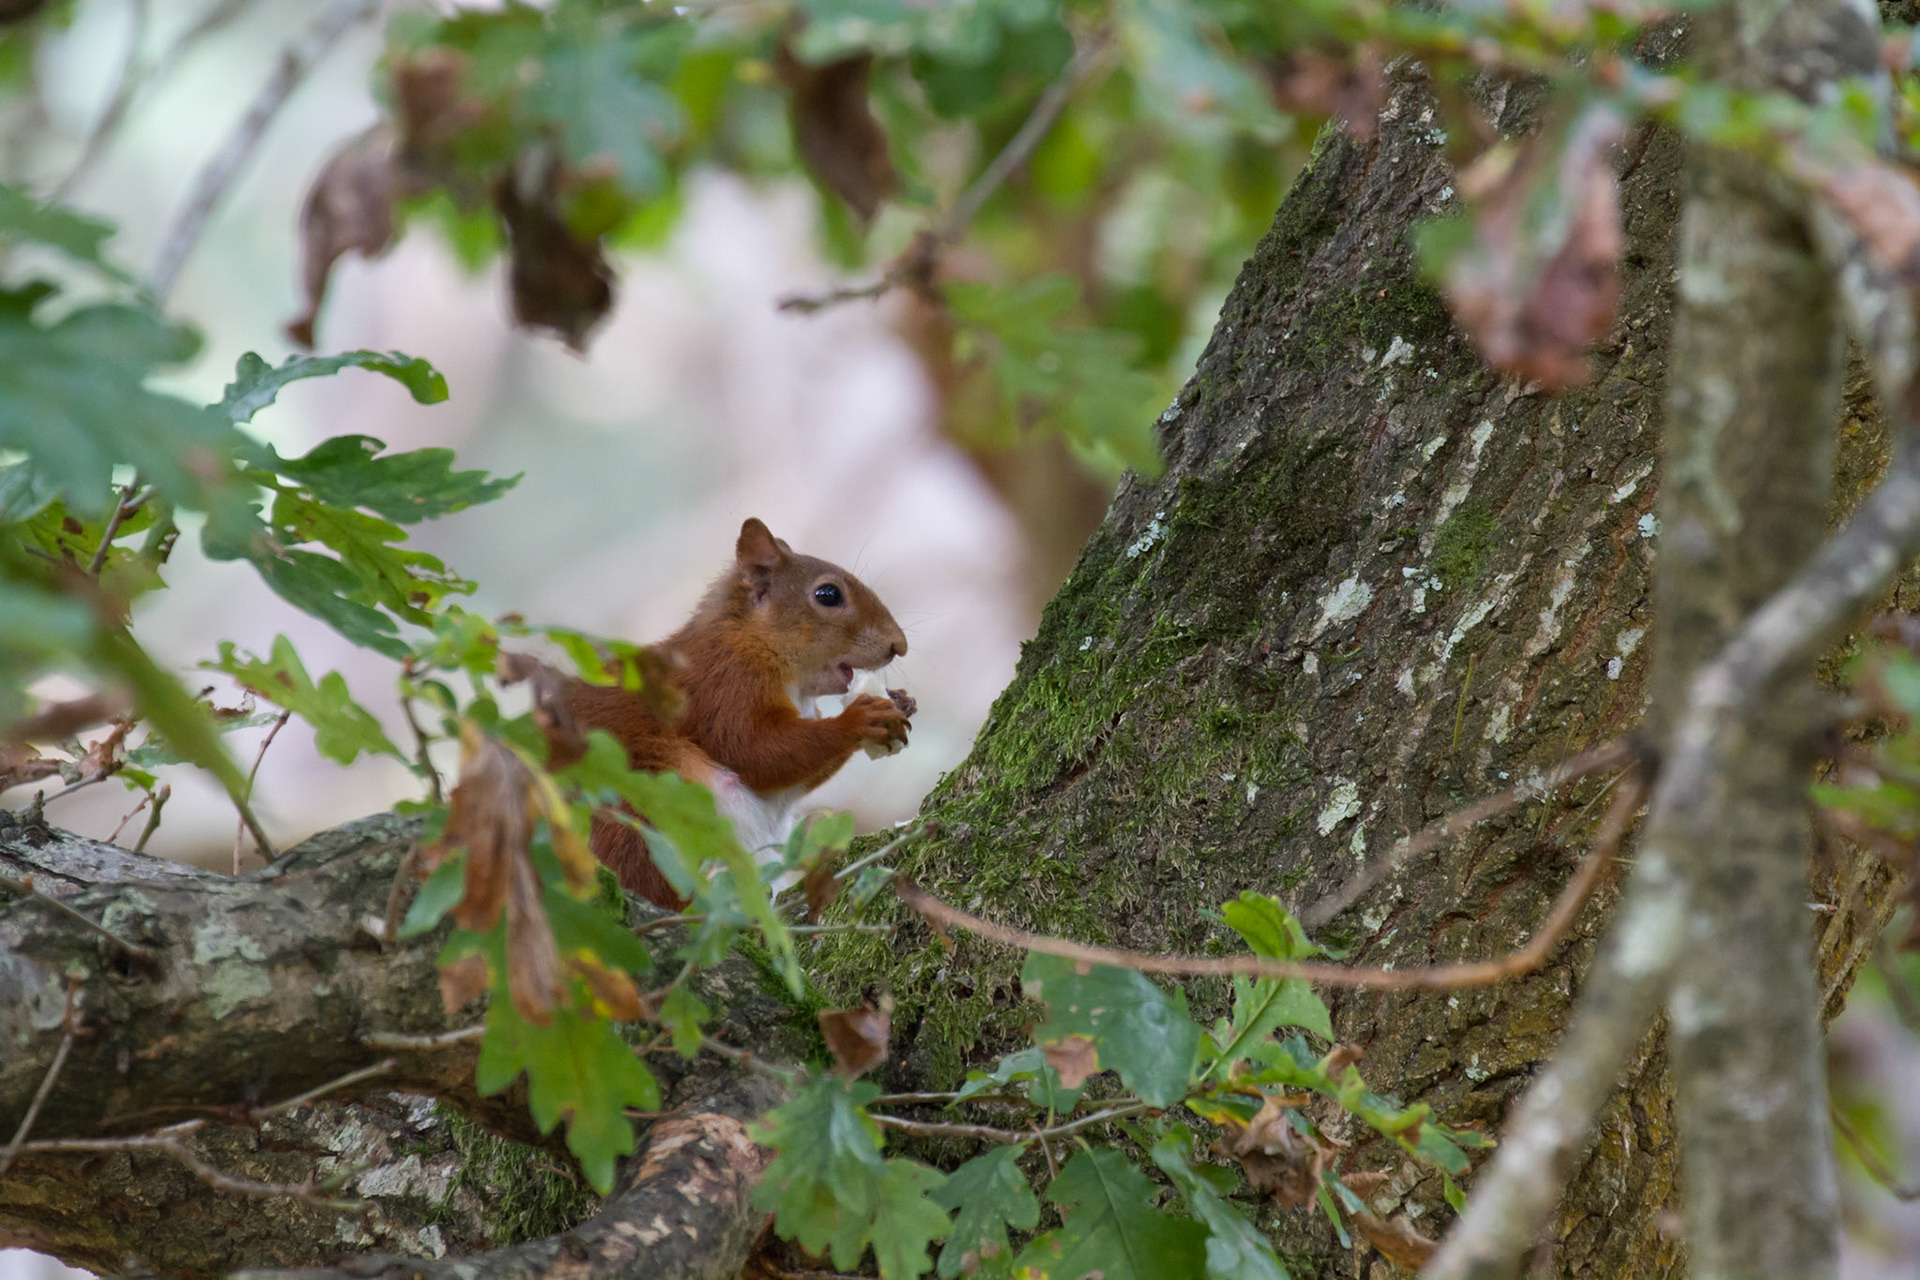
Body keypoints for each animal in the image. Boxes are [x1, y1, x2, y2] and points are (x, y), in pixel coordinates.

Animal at [564, 518, 912, 907]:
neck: (752, 640)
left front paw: (901, 701)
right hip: (648, 803)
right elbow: (751, 750)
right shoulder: (725, 686)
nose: (899, 645)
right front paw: (858, 720)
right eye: (828, 595)